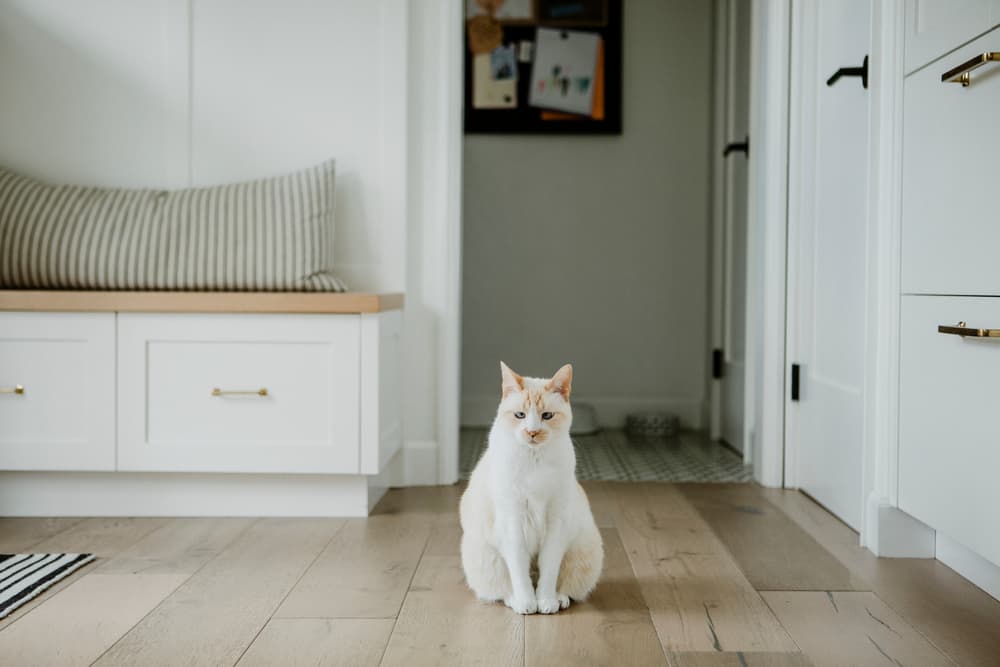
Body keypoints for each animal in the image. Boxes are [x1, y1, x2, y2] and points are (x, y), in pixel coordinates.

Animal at [458, 366, 600, 616]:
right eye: (520, 415)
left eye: (547, 416)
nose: (532, 432)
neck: (535, 460)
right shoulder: (512, 521)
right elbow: (519, 568)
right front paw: (527, 602)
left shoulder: (556, 521)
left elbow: (549, 568)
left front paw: (545, 601)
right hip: (485, 557)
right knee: (503, 588)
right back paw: (515, 600)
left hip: (583, 548)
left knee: (564, 585)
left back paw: (559, 598)